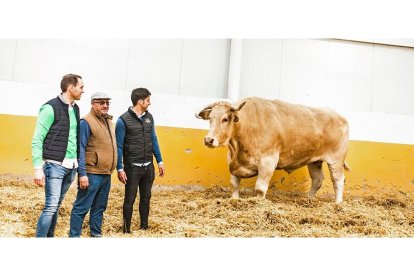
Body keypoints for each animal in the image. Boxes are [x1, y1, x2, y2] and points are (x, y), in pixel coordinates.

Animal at [197, 97, 350, 203]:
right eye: (210, 118)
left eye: (225, 119)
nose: (208, 140)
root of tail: (339, 116)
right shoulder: (232, 160)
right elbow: (234, 184)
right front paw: (234, 200)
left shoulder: (268, 161)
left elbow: (260, 188)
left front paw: (258, 203)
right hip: (314, 160)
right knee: (317, 180)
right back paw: (307, 199)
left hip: (336, 159)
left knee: (338, 180)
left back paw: (337, 203)